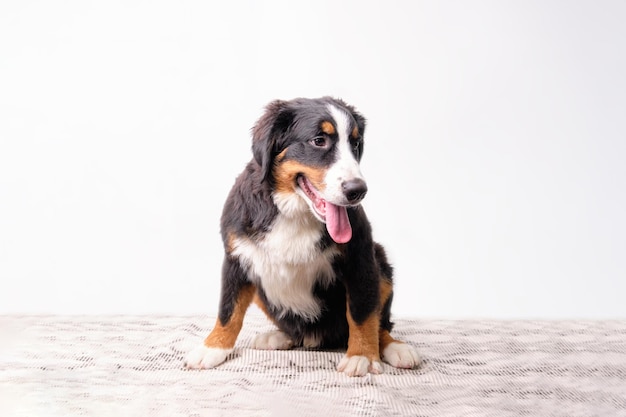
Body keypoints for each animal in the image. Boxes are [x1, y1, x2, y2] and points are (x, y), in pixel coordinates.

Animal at [185, 96, 420, 376]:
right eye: (319, 140)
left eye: (355, 144)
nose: (358, 190)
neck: (295, 211)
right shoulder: (237, 257)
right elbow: (228, 310)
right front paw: (213, 347)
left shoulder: (360, 259)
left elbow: (363, 314)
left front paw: (361, 355)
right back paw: (278, 337)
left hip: (380, 261)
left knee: (381, 323)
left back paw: (395, 347)